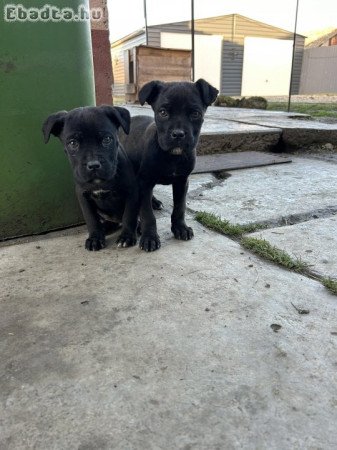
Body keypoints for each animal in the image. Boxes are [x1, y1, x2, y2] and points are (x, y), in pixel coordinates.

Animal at [42, 107, 138, 251]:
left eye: (107, 139)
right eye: (73, 143)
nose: (93, 165)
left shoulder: (131, 192)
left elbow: (129, 215)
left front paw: (126, 237)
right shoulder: (83, 196)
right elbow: (91, 219)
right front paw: (95, 238)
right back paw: (106, 228)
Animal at [119, 79, 219, 251]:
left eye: (195, 114)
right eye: (163, 112)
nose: (178, 134)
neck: (171, 156)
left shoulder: (181, 181)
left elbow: (180, 207)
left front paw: (180, 228)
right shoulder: (144, 182)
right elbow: (147, 213)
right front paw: (149, 237)